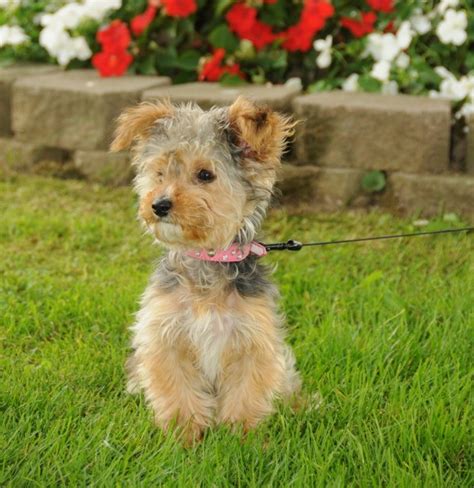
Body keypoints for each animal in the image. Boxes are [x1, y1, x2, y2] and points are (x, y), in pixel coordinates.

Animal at [112, 97, 300, 444]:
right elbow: (177, 390)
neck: (207, 262)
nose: (159, 205)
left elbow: (246, 392)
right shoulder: (165, 337)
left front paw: (239, 436)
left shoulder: (253, 340)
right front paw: (184, 433)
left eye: (204, 174)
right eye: (160, 172)